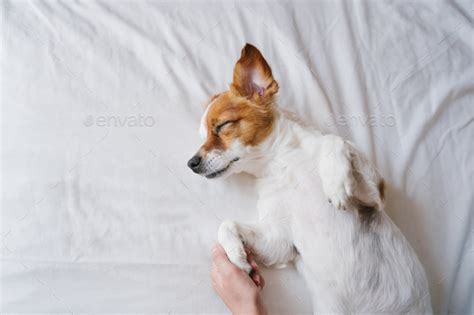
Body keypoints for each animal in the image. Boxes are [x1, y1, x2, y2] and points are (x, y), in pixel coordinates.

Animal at [187, 43, 432, 314]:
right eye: (202, 137)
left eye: (222, 126)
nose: (191, 163)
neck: (281, 165)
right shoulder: (282, 239)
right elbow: (227, 224)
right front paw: (238, 259)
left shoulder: (374, 196)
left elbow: (335, 140)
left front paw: (335, 181)